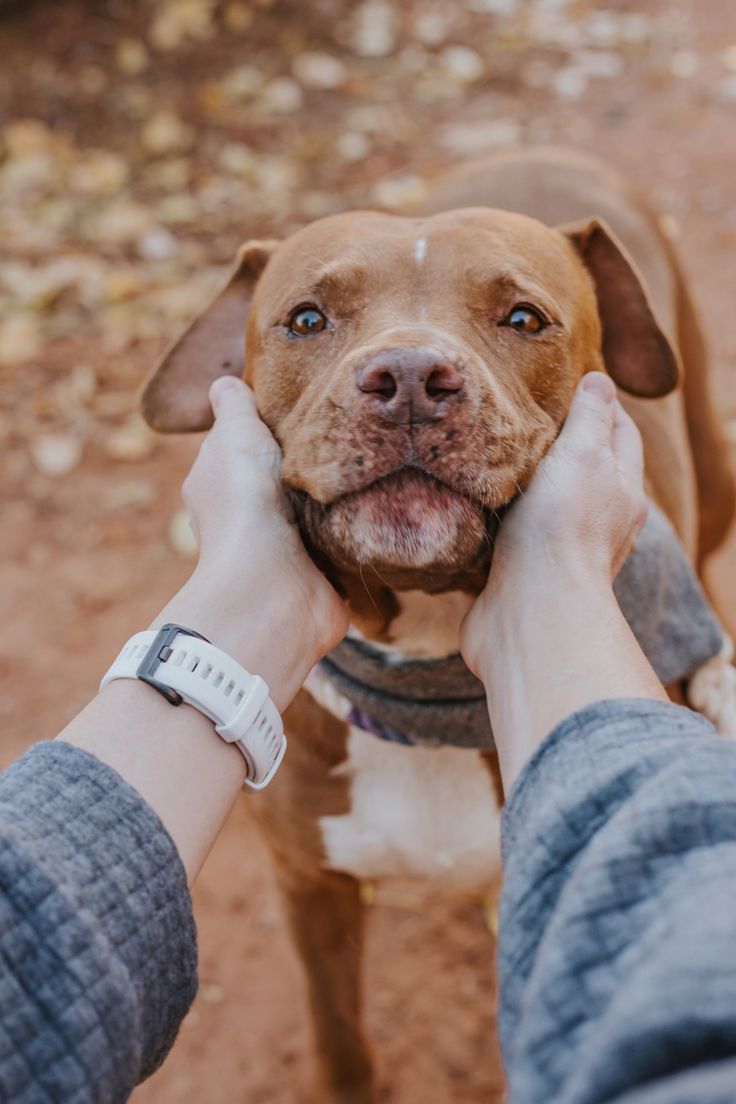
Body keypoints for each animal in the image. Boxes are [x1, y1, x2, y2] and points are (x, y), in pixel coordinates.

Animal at [141, 149, 732, 1104]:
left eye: (524, 317)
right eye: (307, 318)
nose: (411, 378)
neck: (423, 654)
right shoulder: (312, 885)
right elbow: (340, 1039)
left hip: (715, 465)